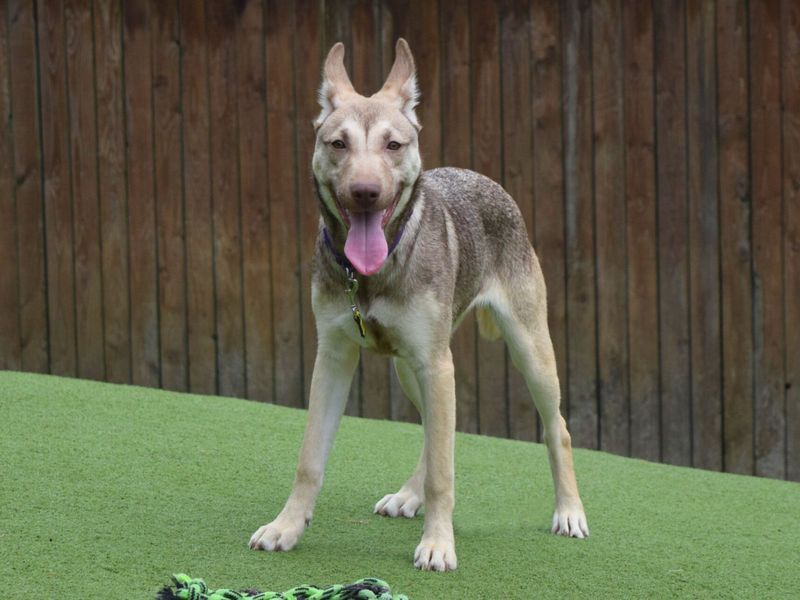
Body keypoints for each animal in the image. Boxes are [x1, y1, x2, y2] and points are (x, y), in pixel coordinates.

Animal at [248, 37, 588, 572]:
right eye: (338, 144)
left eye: (394, 145)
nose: (365, 192)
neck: (371, 273)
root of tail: (484, 179)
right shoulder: (334, 359)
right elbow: (310, 460)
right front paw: (287, 527)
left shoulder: (435, 365)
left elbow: (445, 474)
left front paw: (438, 544)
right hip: (411, 368)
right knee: (436, 431)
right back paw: (409, 496)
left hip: (525, 354)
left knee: (557, 429)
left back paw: (569, 511)